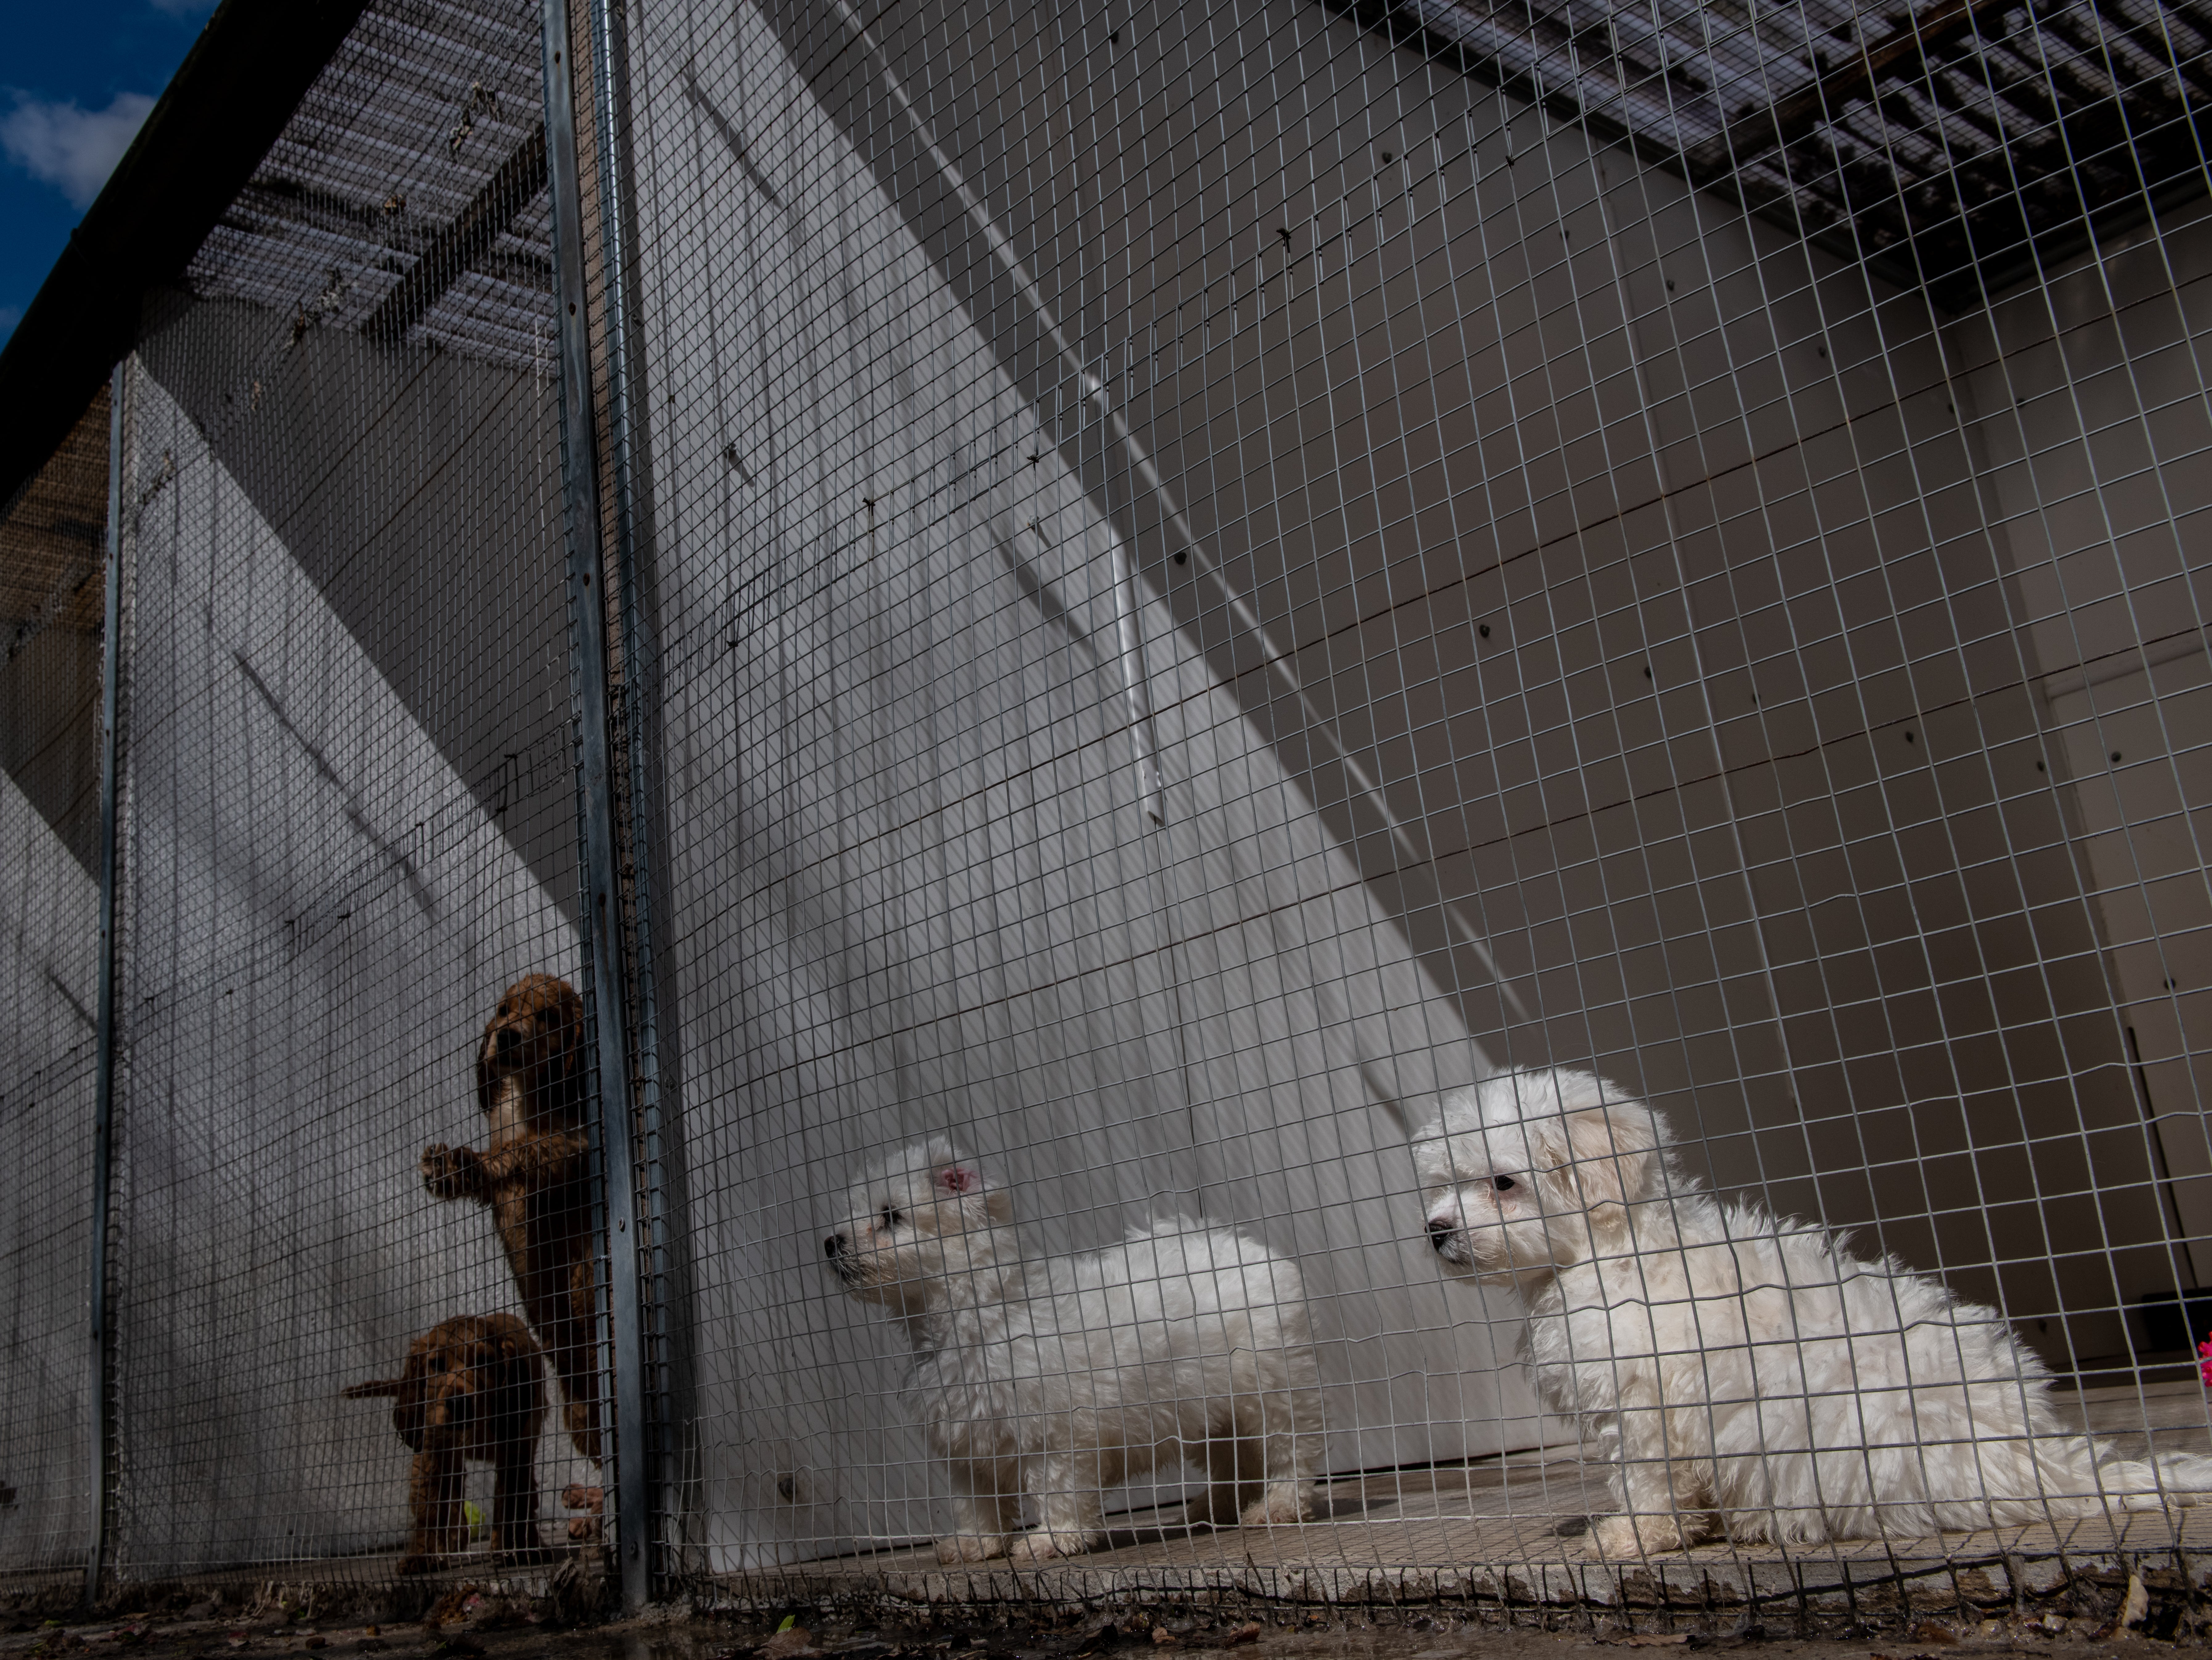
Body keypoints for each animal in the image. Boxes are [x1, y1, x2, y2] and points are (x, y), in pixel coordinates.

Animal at [349, 1310, 553, 1576]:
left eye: (485, 1361)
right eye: (436, 1364)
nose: (458, 1404)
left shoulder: (517, 1448)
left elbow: (515, 1499)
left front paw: (520, 1548)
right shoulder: (433, 1447)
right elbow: (429, 1504)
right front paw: (422, 1556)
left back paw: (500, 1543)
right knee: (455, 1488)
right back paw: (455, 1537)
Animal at [416, 974, 602, 1531]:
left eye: (548, 1017)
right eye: (503, 1010)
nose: (508, 1037)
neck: (526, 1095)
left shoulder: (574, 1144)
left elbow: (519, 1153)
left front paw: (465, 1162)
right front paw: (452, 1170)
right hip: (579, 1413)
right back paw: (592, 1503)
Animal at [827, 1142, 1309, 1567]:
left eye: (891, 1215)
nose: (832, 1243)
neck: (986, 1317)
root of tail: (1237, 1247)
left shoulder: (1056, 1437)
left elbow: (1056, 1490)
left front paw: (1051, 1541)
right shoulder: (968, 1446)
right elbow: (976, 1502)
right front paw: (975, 1545)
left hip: (1276, 1391)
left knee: (1289, 1453)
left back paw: (1278, 1506)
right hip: (1214, 1413)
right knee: (1233, 1462)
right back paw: (1214, 1509)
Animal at [1415, 1071, 2212, 1558]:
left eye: (1502, 1182)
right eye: (1441, 1185)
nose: (1434, 1230)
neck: (1607, 1243)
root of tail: (2035, 1457)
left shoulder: (1640, 1398)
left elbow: (1643, 1475)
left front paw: (1634, 1536)